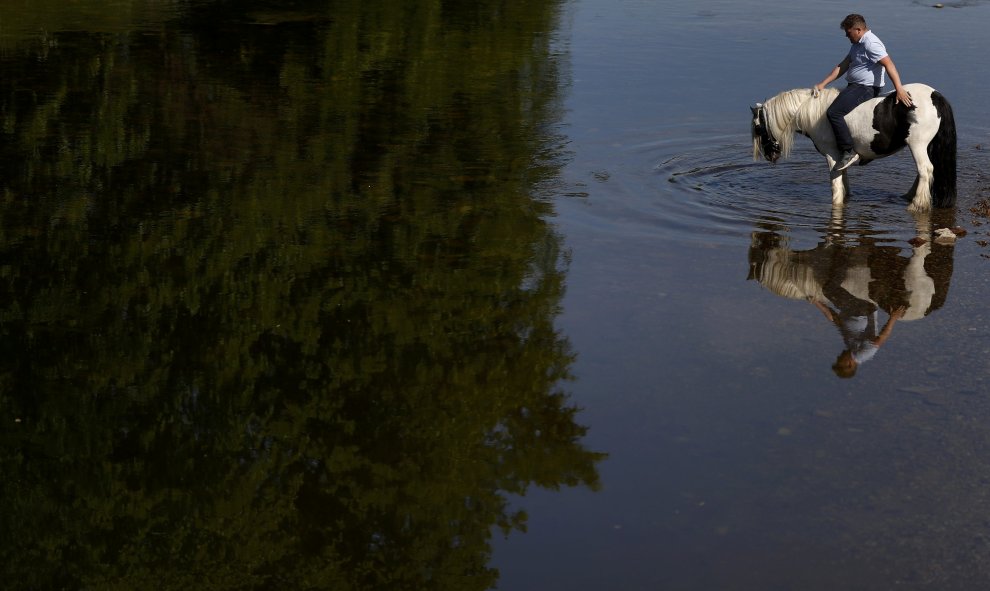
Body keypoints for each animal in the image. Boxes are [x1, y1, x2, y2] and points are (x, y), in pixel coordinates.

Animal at [756, 83, 956, 213]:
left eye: (759, 128)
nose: (769, 155)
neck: (812, 112)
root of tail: (935, 96)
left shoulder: (831, 154)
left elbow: (835, 182)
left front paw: (836, 202)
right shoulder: (840, 156)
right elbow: (843, 178)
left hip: (918, 144)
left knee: (925, 170)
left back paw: (916, 204)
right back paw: (908, 196)